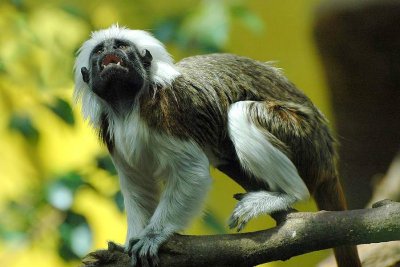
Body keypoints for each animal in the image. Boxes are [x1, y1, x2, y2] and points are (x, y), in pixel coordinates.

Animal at [73, 24, 360, 266]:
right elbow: (137, 185)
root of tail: (327, 154)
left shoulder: (168, 112)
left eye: (121, 46)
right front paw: (128, 244)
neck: (128, 106)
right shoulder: (113, 136)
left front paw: (153, 236)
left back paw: (286, 194)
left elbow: (191, 171)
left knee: (241, 112)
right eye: (100, 51)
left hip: (303, 136)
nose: (109, 50)